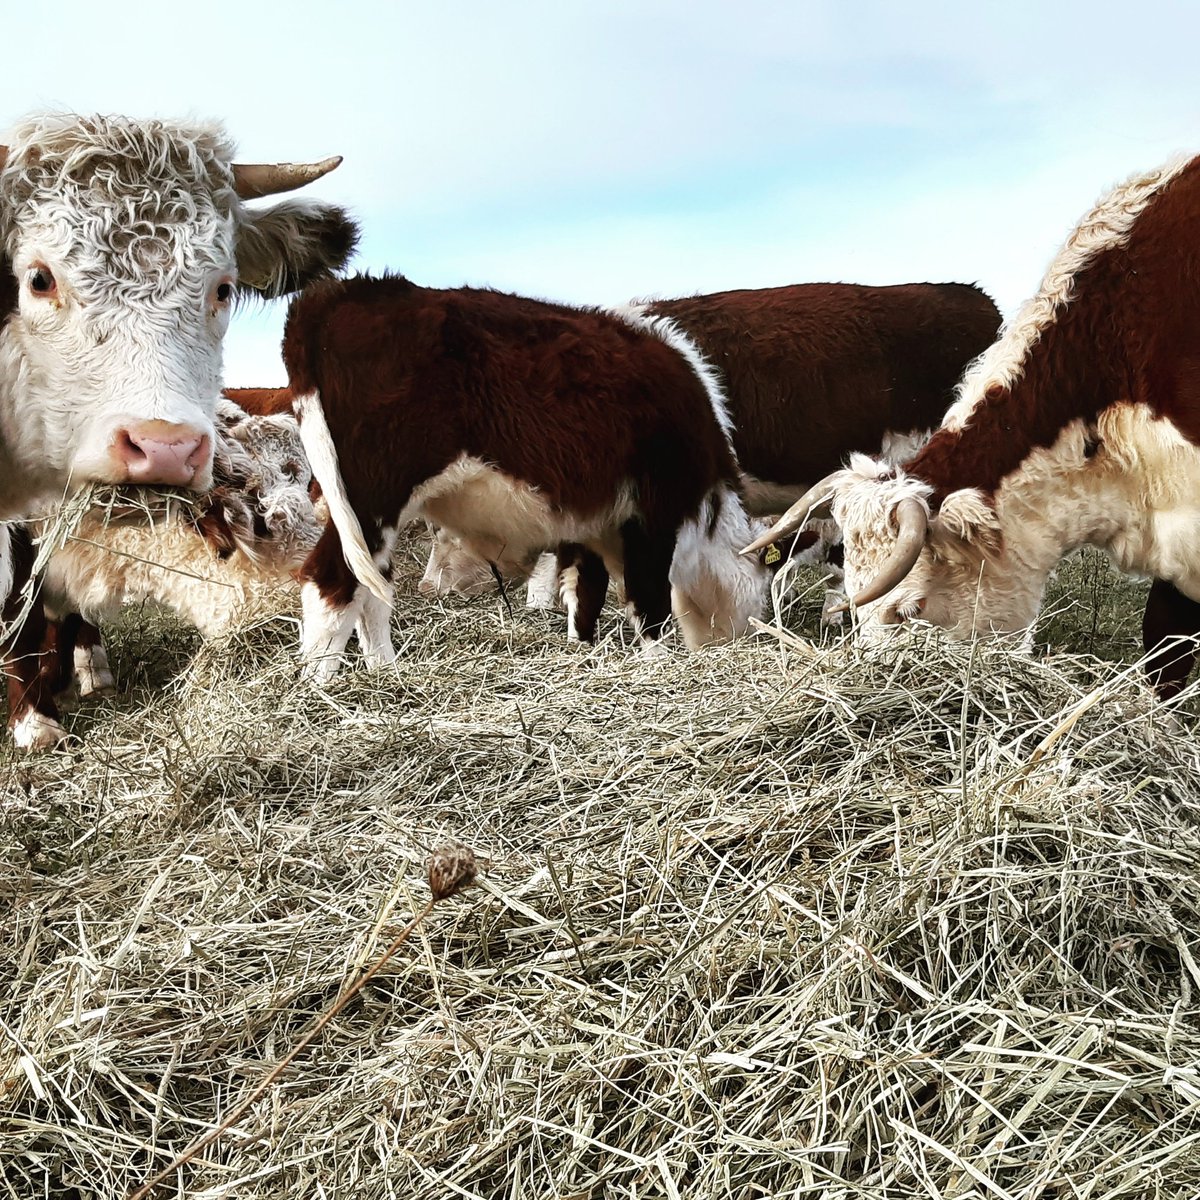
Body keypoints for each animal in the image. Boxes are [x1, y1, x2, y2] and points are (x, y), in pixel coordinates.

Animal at [285, 274, 770, 679]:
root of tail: (339, 292)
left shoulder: (591, 522)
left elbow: (583, 593)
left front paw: (583, 648)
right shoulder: (654, 511)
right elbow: (647, 600)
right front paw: (660, 664)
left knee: (373, 591)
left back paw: (387, 674)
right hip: (371, 501)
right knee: (331, 581)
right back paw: (320, 689)